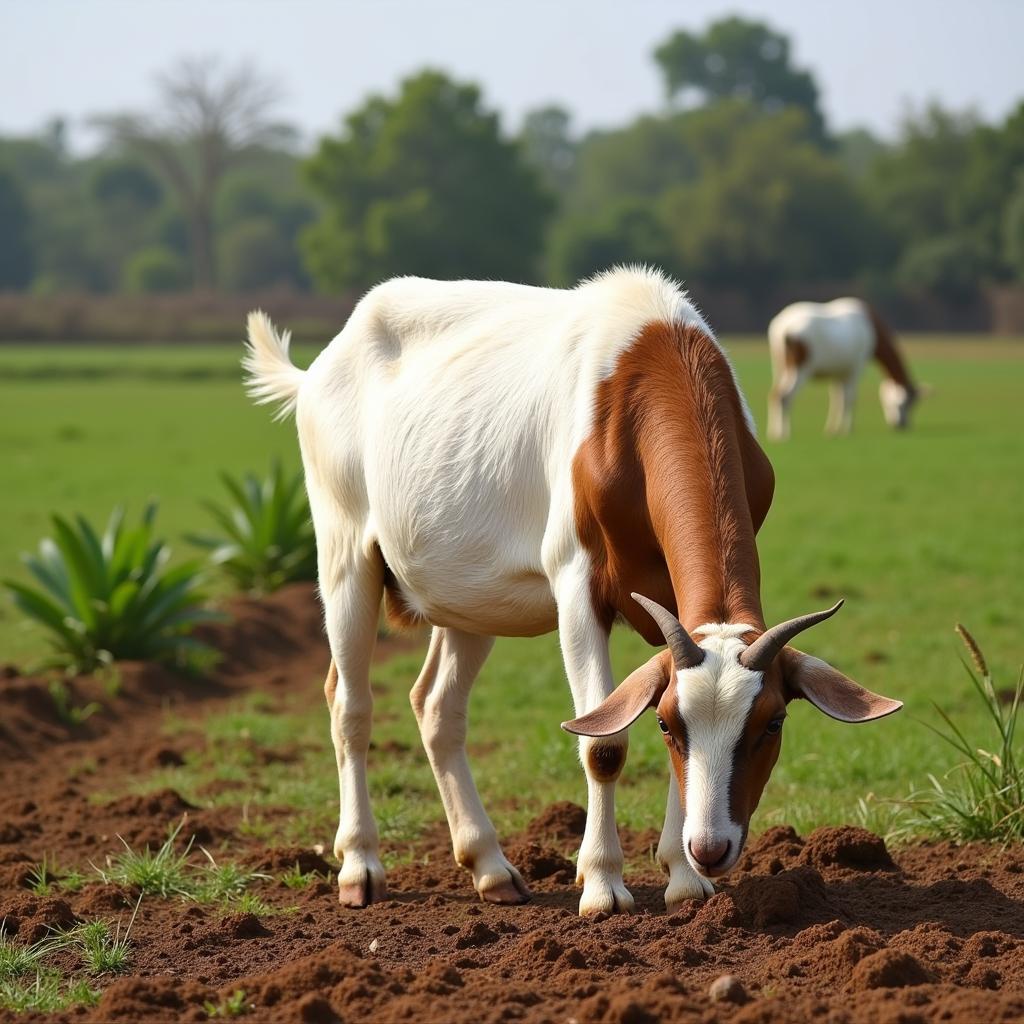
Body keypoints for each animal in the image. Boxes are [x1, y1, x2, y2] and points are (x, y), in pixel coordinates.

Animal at [243, 268, 901, 917]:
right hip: (344, 552)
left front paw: (685, 881)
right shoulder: (579, 586)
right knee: (349, 704)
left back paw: (492, 868)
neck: (643, 368)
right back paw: (360, 868)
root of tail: (321, 368)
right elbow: (603, 744)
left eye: (772, 722)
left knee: (436, 706)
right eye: (671, 724)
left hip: (470, 603)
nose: (711, 849)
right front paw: (603, 887)